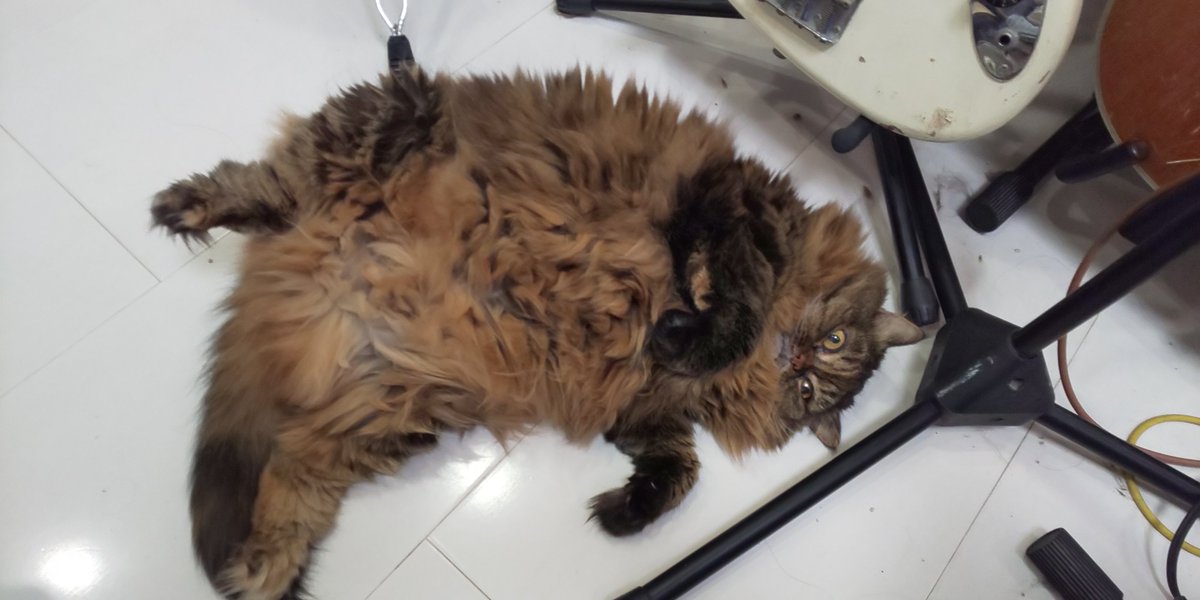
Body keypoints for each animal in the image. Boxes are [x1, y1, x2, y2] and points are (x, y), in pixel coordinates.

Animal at [150, 66, 923, 599]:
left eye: (811, 386)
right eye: (832, 348)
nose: (798, 359)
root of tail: (324, 271)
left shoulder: (644, 409)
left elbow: (680, 468)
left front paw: (624, 515)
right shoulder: (733, 207)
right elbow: (731, 299)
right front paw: (690, 321)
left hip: (395, 411)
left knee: (293, 470)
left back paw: (264, 570)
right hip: (391, 119)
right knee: (271, 183)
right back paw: (186, 207)